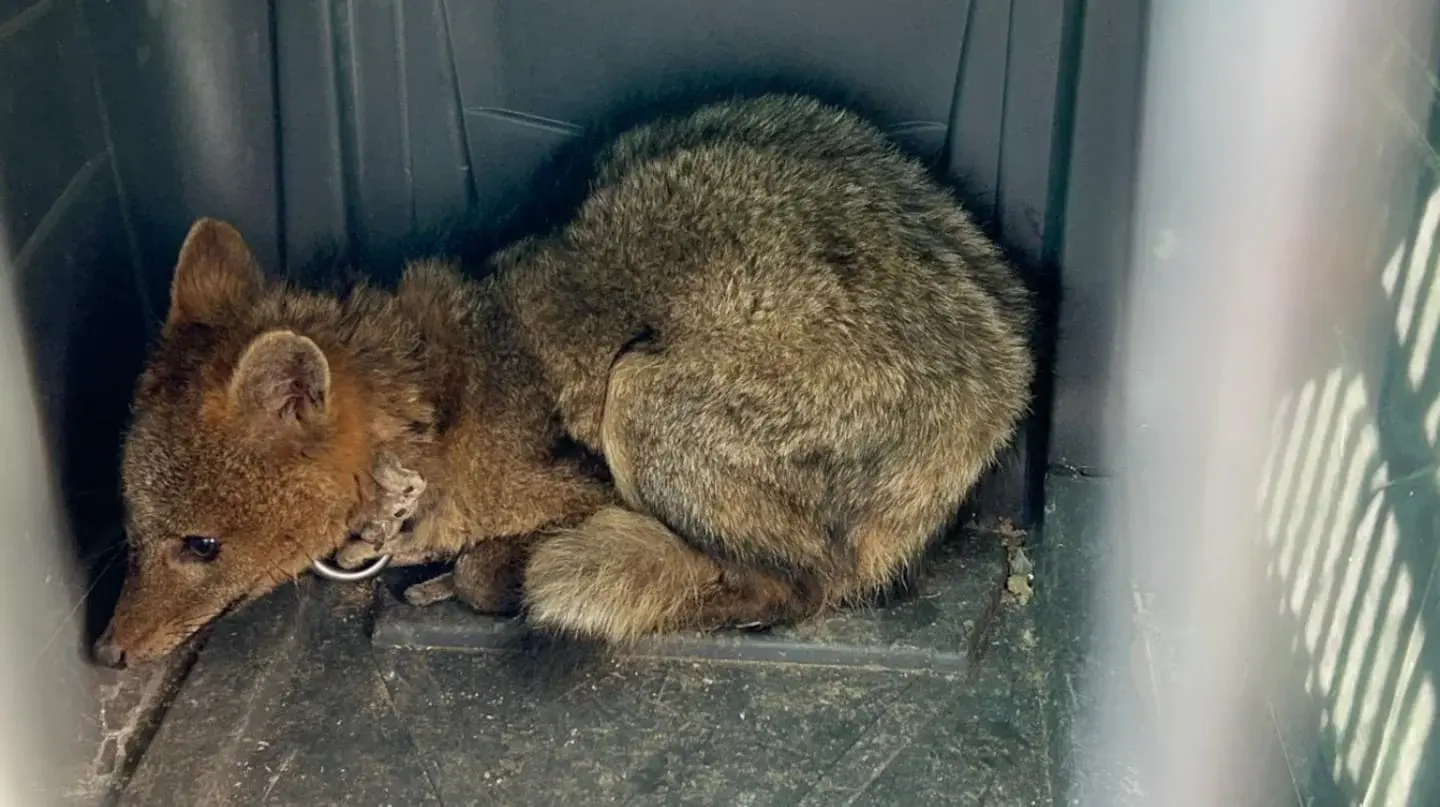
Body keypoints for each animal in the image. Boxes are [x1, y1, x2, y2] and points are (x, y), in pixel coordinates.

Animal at [92, 94, 1035, 668]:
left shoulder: (577, 483)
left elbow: (489, 565)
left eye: (201, 546)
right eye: (133, 532)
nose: (106, 651)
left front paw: (477, 575)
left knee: (795, 587)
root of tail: (1006, 379)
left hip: (642, 402)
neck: (435, 418)